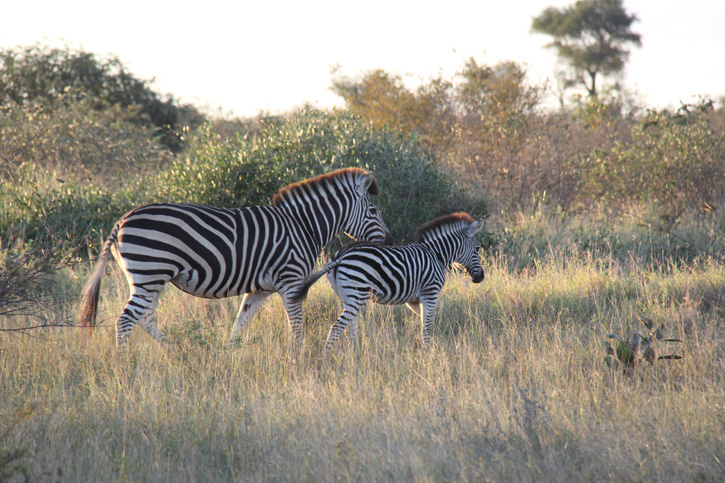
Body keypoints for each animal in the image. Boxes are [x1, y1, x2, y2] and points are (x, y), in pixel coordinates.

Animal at [78, 168, 390, 350]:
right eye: (373, 211)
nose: (388, 241)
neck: (303, 225)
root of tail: (122, 220)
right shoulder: (291, 282)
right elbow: (297, 327)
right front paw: (299, 360)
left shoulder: (261, 289)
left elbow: (239, 324)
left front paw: (228, 354)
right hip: (149, 272)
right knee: (126, 320)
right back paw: (123, 364)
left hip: (149, 278)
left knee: (145, 317)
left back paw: (178, 353)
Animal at [292, 214, 484, 354]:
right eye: (477, 249)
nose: (481, 278)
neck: (436, 254)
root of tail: (341, 255)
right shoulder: (430, 293)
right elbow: (428, 325)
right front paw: (428, 351)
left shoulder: (414, 300)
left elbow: (423, 322)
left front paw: (419, 346)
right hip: (356, 294)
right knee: (337, 327)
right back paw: (326, 356)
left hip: (347, 296)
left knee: (350, 328)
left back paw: (356, 355)